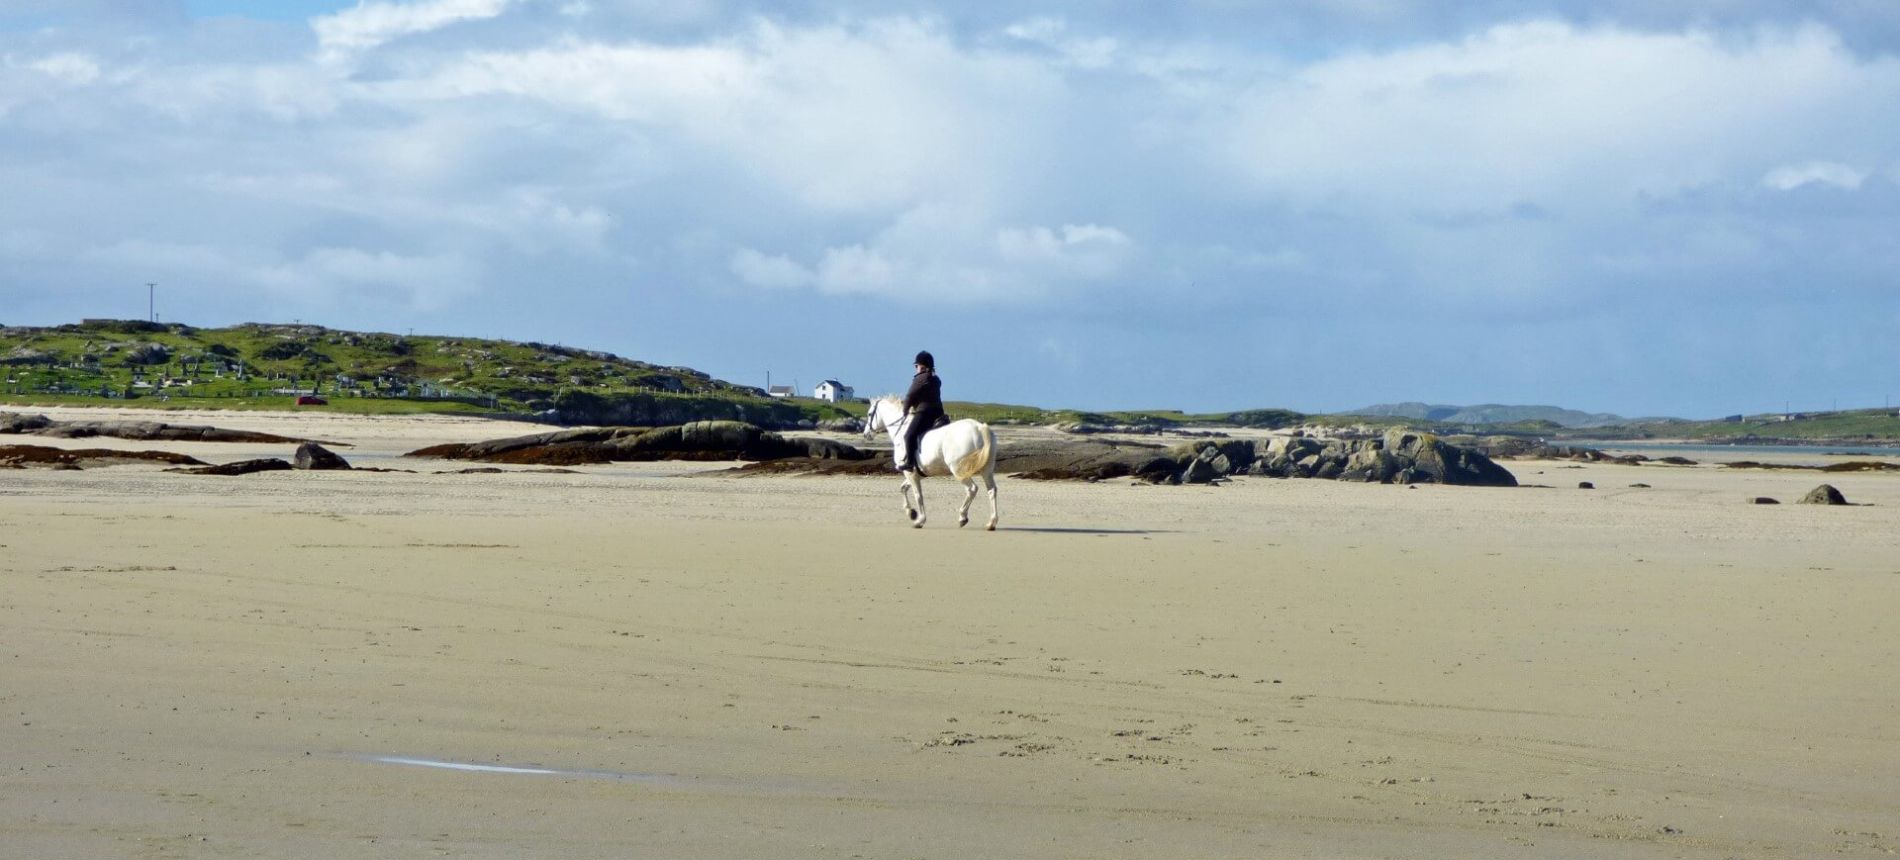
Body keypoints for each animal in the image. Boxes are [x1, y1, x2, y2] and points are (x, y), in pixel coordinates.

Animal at [866, 396, 1003, 527]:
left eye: (869, 414)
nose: (866, 434)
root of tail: (979, 428)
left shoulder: (910, 473)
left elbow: (918, 496)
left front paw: (920, 520)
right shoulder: (916, 474)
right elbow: (903, 488)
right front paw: (911, 512)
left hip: (959, 470)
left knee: (972, 489)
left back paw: (962, 517)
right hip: (986, 470)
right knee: (991, 490)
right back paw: (992, 522)